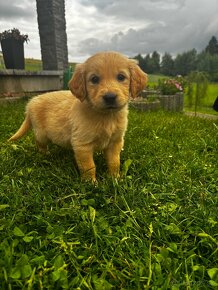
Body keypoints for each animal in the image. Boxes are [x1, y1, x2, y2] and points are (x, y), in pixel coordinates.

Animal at [8, 51, 148, 180]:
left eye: (121, 77)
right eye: (94, 79)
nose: (110, 97)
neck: (106, 116)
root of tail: (31, 102)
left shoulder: (115, 142)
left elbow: (114, 162)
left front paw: (115, 179)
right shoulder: (82, 144)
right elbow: (89, 166)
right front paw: (91, 183)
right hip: (41, 133)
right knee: (39, 142)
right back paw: (45, 154)